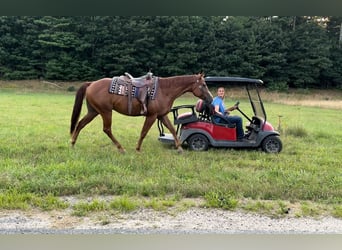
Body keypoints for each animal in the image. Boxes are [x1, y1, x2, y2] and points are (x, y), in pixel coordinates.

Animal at [70, 73, 211, 152]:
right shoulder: (152, 116)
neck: (164, 90)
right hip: (106, 111)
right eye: (204, 85)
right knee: (107, 129)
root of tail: (91, 83)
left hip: (93, 111)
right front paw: (137, 149)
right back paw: (121, 148)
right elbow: (144, 132)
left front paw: (180, 148)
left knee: (80, 124)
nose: (210, 98)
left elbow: (171, 128)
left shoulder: (162, 115)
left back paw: (72, 143)